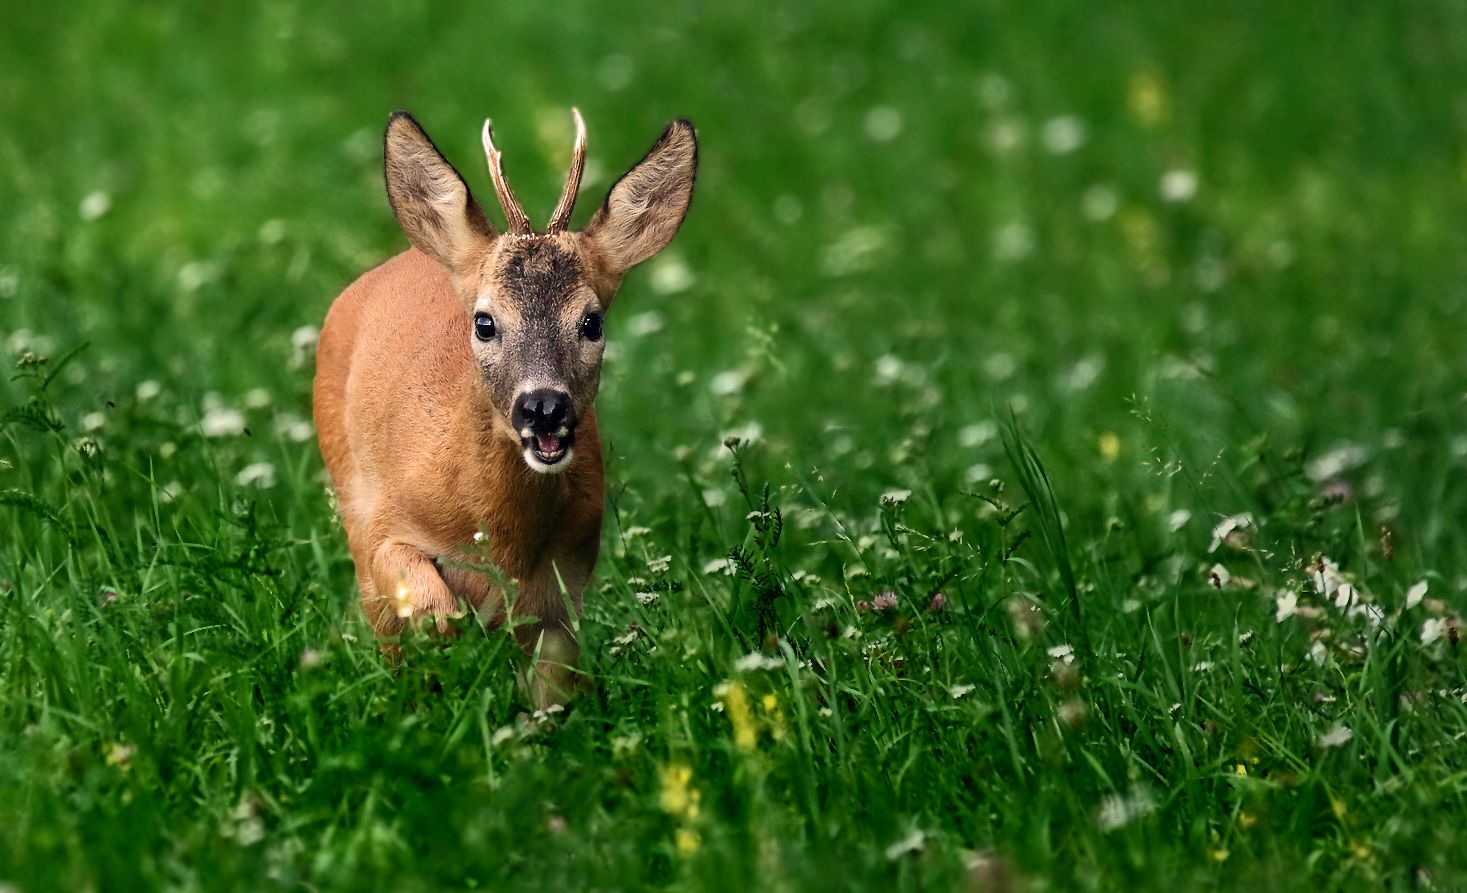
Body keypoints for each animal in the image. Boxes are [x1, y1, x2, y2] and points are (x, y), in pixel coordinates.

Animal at [313, 107, 698, 703]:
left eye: (592, 322)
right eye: (485, 322)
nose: (544, 408)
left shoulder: (565, 585)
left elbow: (550, 696)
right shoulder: (384, 527)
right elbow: (430, 605)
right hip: (348, 489)